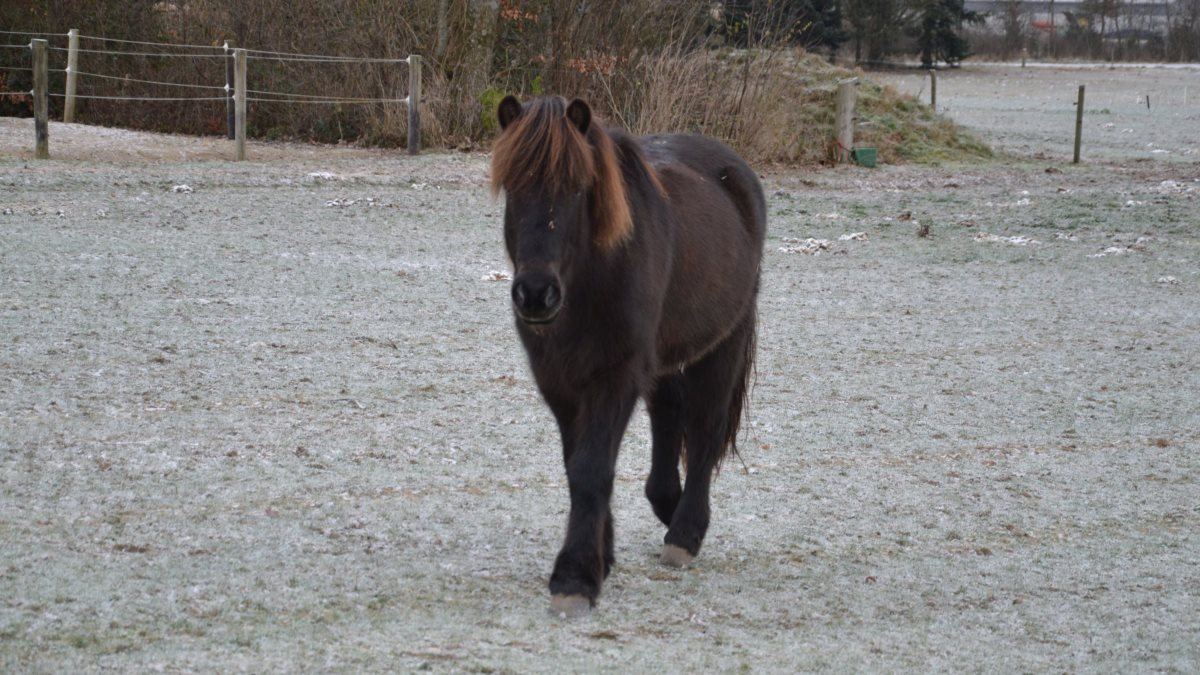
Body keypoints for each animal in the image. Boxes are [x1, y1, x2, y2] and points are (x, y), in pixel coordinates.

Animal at [489, 96, 763, 614]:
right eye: (513, 186)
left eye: (578, 189)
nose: (535, 295)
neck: (591, 280)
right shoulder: (558, 381)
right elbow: (577, 463)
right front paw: (601, 558)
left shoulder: (615, 376)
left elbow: (591, 469)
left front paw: (575, 577)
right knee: (670, 413)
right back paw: (668, 503)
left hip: (724, 344)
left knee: (705, 431)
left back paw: (685, 533)